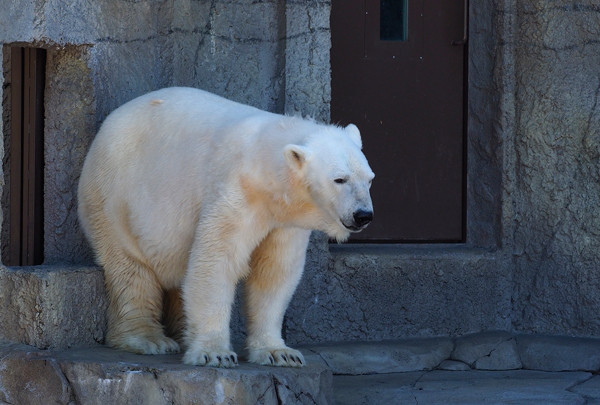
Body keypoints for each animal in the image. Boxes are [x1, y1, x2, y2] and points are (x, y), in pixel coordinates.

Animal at [77, 87, 372, 368]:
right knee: (130, 267)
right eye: (340, 179)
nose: (363, 215)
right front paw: (214, 353)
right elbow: (218, 262)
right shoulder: (236, 193)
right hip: (114, 197)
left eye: (369, 178)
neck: (265, 168)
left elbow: (275, 271)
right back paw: (149, 339)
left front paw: (280, 353)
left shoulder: (284, 220)